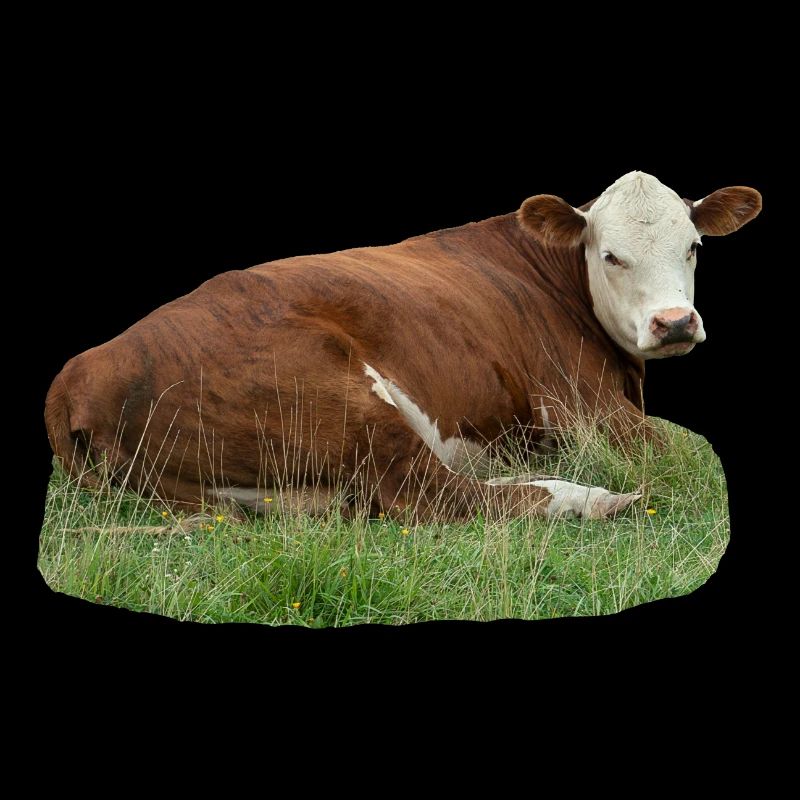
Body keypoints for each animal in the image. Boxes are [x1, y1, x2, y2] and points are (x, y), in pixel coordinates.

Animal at [45, 171, 762, 522]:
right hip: (341, 403)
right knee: (434, 496)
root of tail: (80, 371)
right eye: (610, 255)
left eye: (694, 246)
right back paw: (589, 498)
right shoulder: (584, 407)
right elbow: (683, 453)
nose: (675, 323)